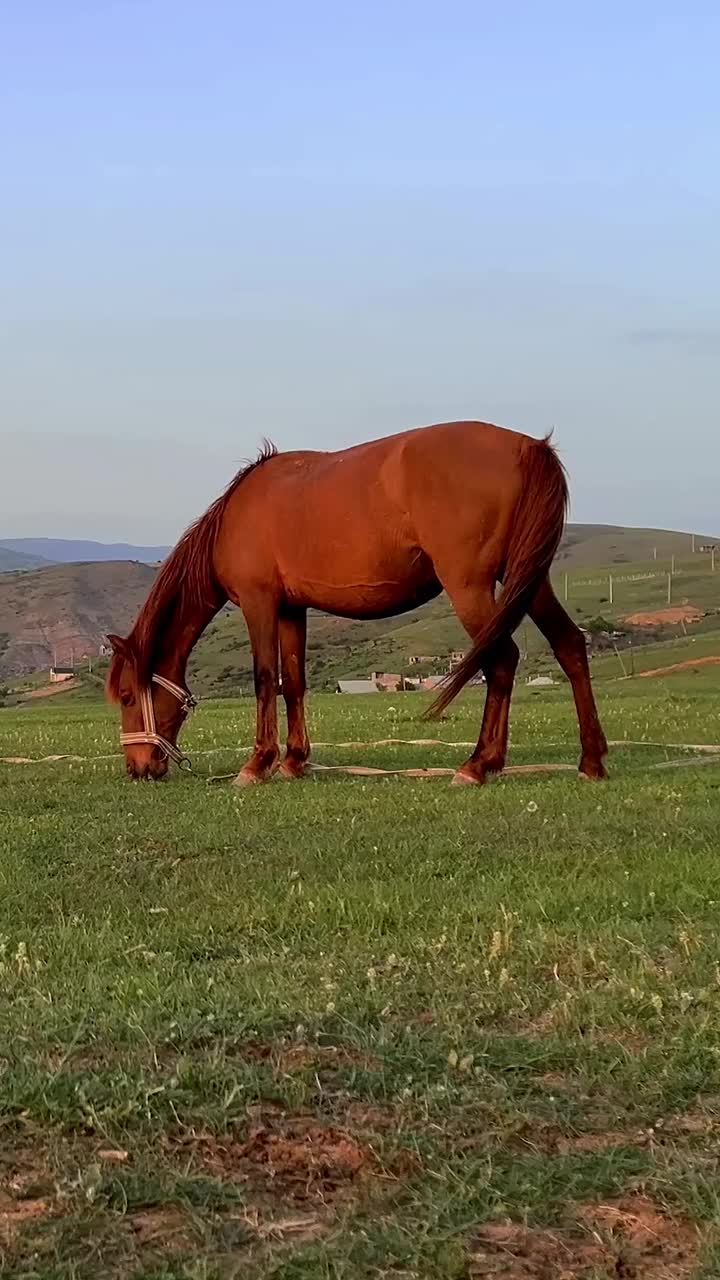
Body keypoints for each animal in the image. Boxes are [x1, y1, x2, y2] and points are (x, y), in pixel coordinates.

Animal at [105, 422, 604, 778]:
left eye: (127, 696)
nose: (138, 769)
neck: (234, 517)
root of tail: (528, 447)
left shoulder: (258, 603)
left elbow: (265, 679)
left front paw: (258, 764)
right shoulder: (292, 609)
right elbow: (294, 682)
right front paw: (294, 761)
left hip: (472, 586)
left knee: (501, 660)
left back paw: (479, 764)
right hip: (528, 581)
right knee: (569, 646)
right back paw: (591, 761)